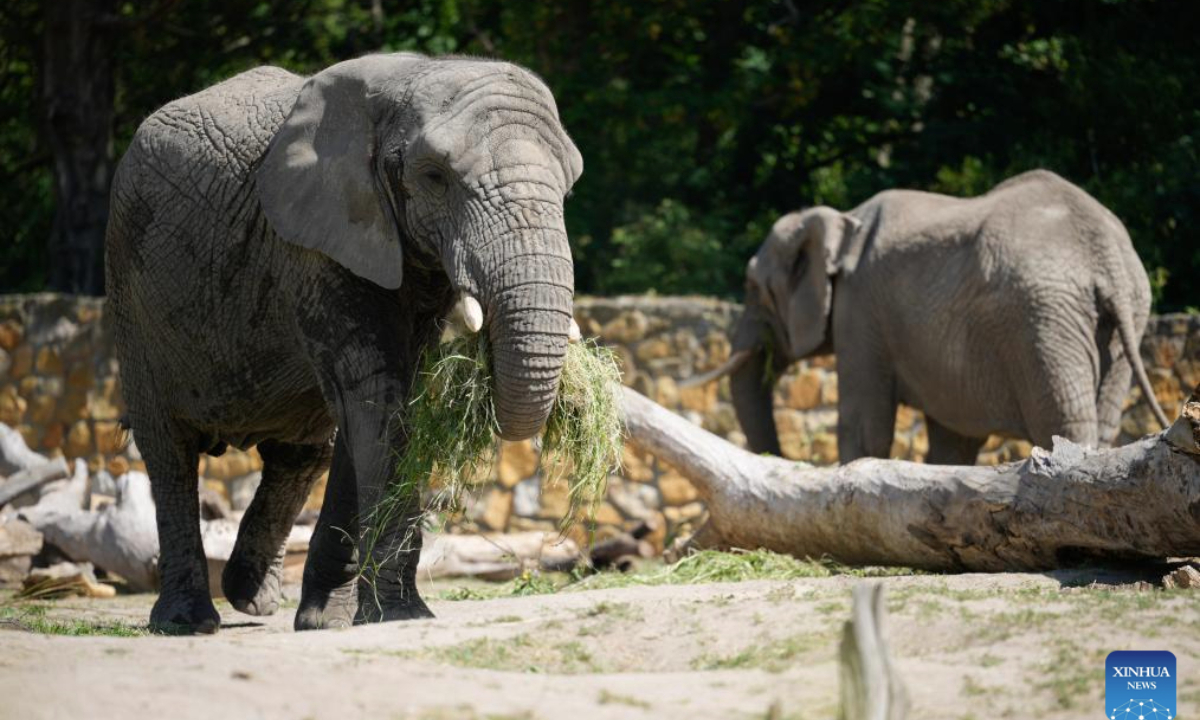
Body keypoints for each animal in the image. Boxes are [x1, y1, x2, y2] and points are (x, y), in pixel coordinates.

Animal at [105, 53, 583, 633]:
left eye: (569, 187)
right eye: (435, 177)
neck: (407, 82)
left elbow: (384, 405)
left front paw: (341, 620)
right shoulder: (315, 247)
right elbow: (377, 395)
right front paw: (402, 616)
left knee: (305, 451)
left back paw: (255, 599)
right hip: (130, 289)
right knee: (169, 451)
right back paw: (187, 621)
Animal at [694, 170, 1169, 465]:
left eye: (753, 288)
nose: (775, 457)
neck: (841, 220)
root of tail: (1104, 254)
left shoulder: (859, 309)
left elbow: (864, 425)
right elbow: (952, 439)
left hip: (1044, 319)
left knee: (1064, 422)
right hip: (1118, 320)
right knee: (1102, 424)